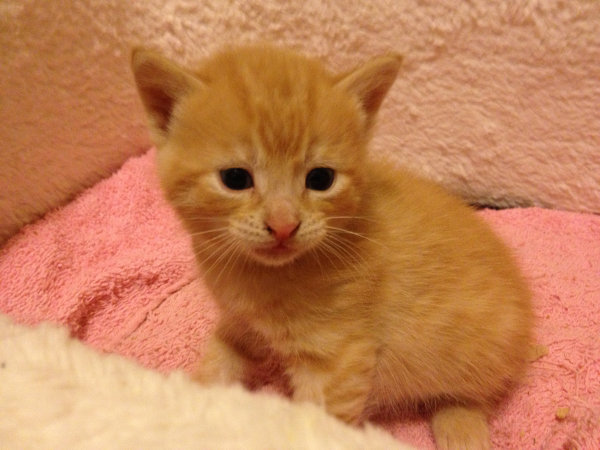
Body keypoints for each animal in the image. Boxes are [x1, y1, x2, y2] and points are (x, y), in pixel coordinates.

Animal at [132, 43, 536, 450]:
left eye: (321, 179)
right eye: (235, 178)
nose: (283, 225)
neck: (259, 275)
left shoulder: (338, 358)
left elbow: (319, 427)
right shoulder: (239, 323)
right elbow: (218, 364)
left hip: (476, 348)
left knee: (475, 392)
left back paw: (460, 425)